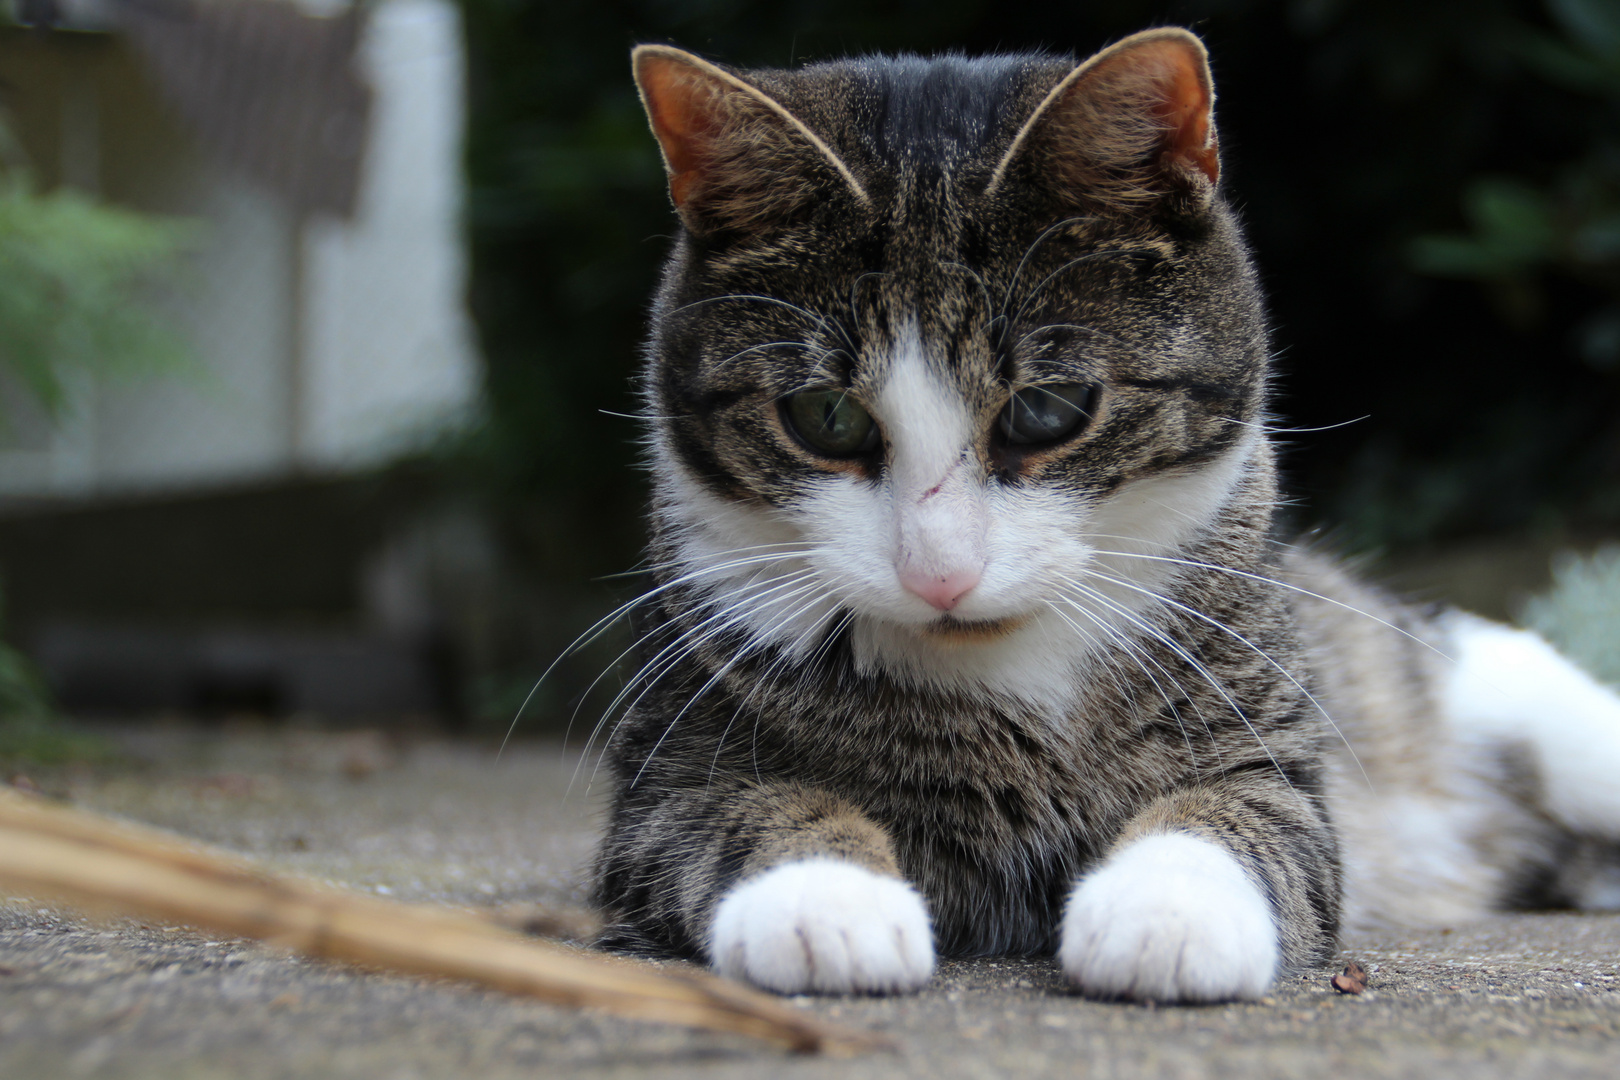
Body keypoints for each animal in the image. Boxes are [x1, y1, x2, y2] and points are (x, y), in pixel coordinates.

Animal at [589, 25, 1620, 1003]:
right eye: (824, 417)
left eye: (1048, 409)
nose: (940, 572)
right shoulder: (661, 782)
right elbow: (736, 812)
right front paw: (824, 900)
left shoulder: (1270, 754)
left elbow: (1238, 815)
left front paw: (1164, 915)